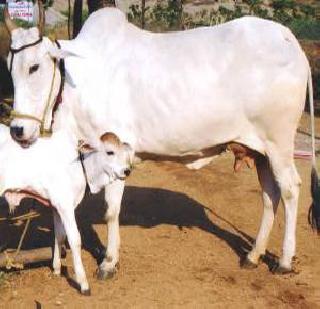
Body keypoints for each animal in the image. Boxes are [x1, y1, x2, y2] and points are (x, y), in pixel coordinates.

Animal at [4, 8, 316, 276]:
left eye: (34, 67)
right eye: (10, 68)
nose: (17, 129)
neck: (77, 81)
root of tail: (289, 40)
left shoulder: (115, 149)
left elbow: (111, 211)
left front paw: (109, 262)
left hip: (279, 144)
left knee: (290, 190)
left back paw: (284, 260)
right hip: (259, 150)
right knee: (269, 196)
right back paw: (253, 255)